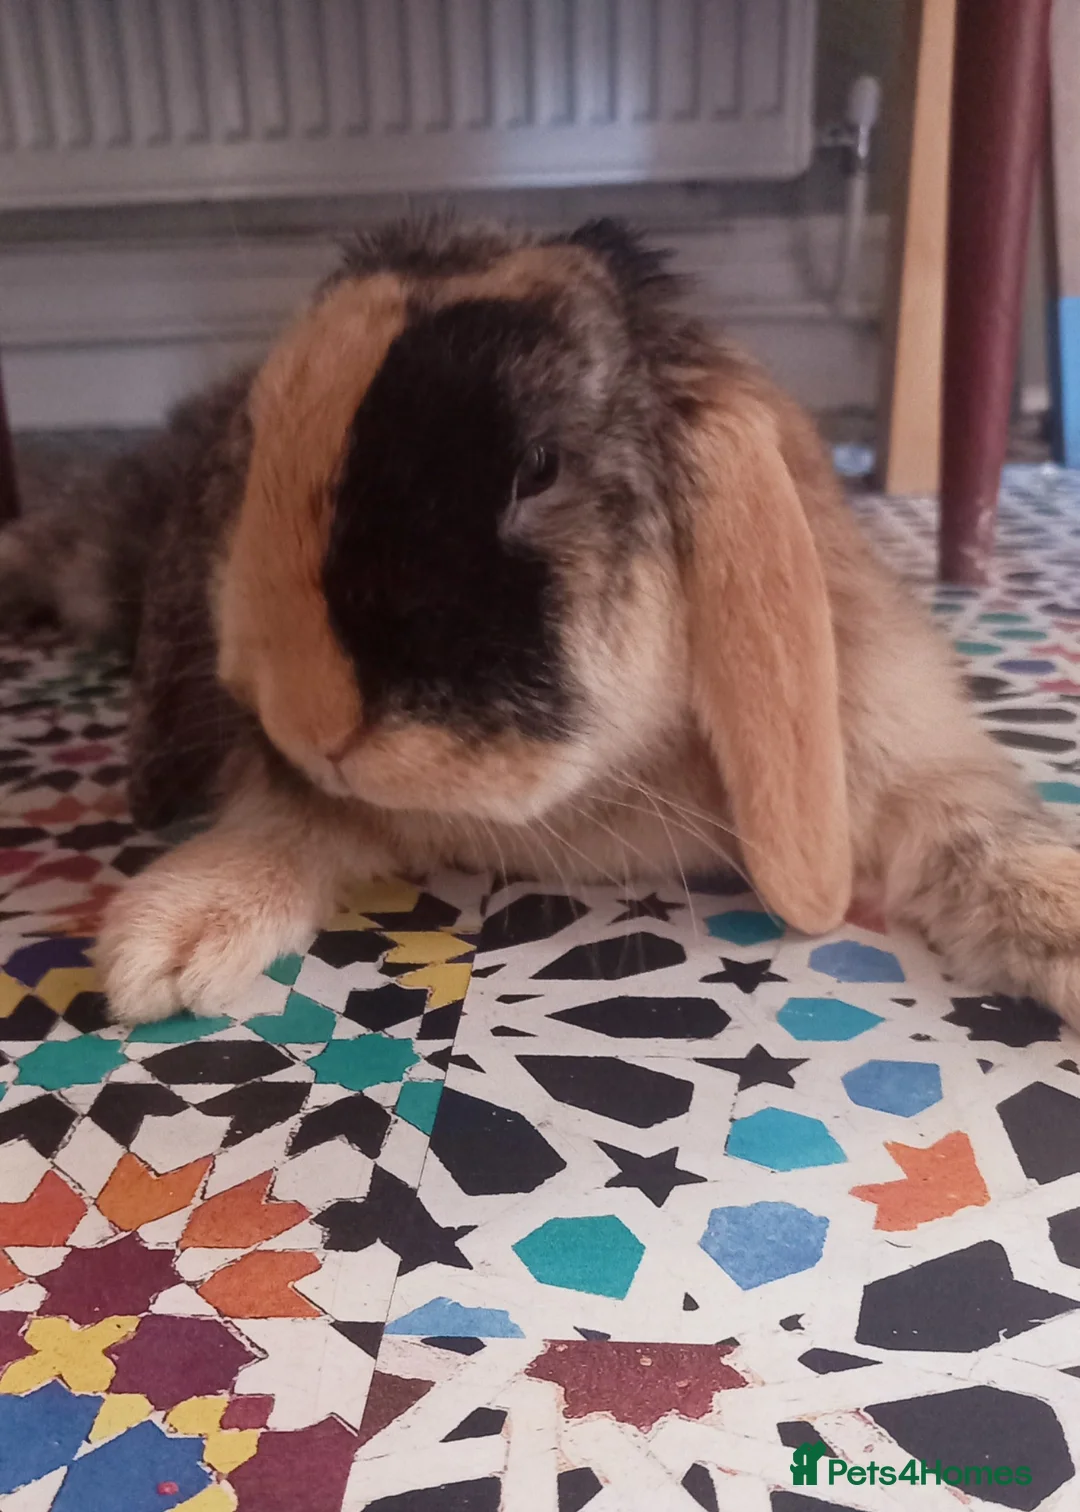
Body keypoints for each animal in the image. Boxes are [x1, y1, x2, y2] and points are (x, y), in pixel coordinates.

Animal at [5, 215, 1080, 1031]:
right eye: (261, 448)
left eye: (537, 468)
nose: (312, 722)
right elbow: (283, 822)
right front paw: (169, 939)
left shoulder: (901, 751)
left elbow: (982, 835)